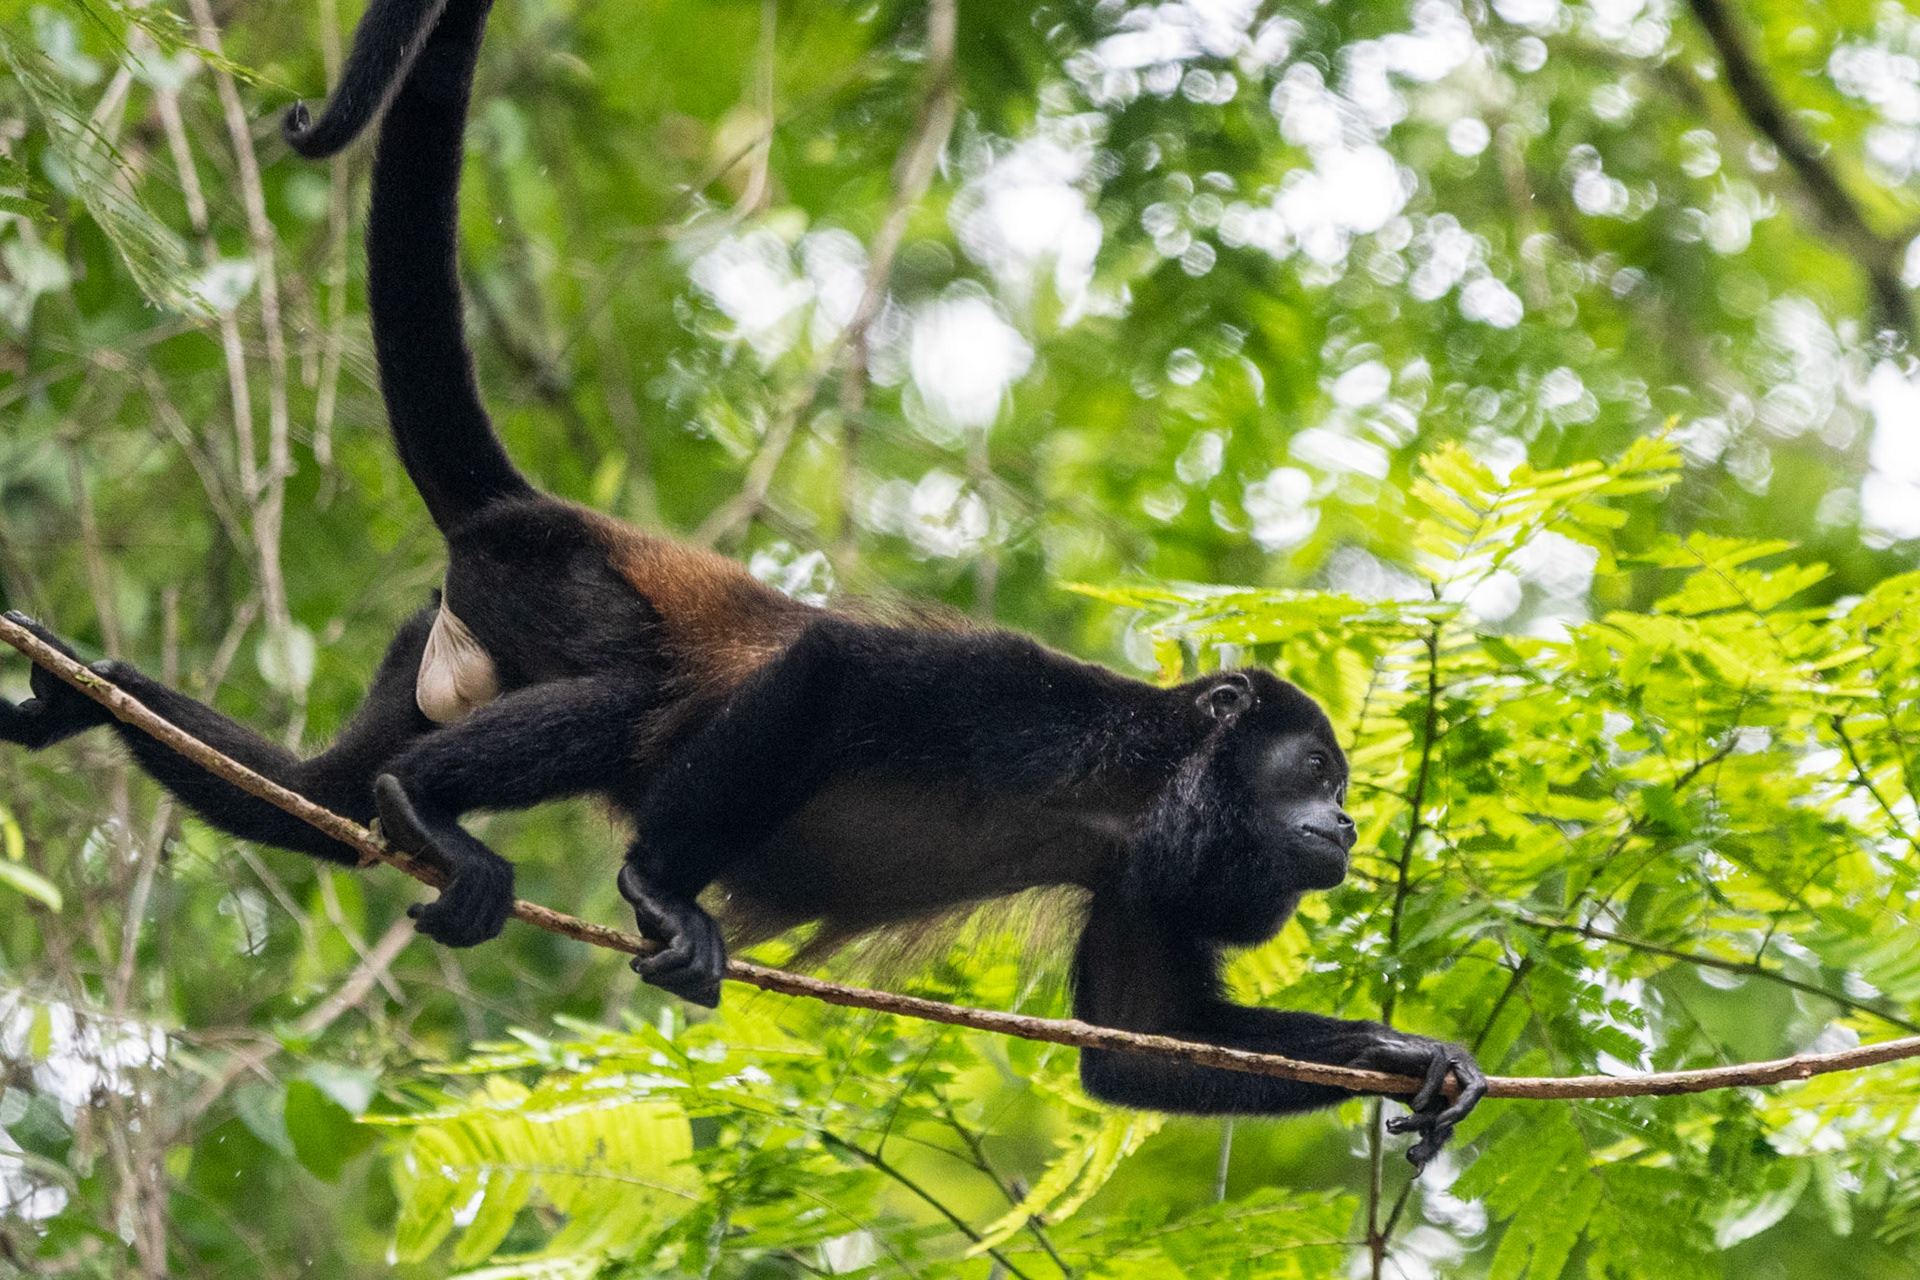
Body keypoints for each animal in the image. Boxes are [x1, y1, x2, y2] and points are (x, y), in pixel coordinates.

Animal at [0, 0, 1486, 1165]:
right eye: (1317, 773)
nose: (1348, 826)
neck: (1145, 786)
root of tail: (526, 505)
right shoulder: (1050, 708)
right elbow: (838, 670)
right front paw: (661, 891)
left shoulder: (1137, 872)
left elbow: (1133, 1042)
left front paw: (1412, 1056)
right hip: (562, 580)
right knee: (622, 699)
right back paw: (436, 810)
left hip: (437, 640)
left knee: (311, 798)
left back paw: (106, 702)